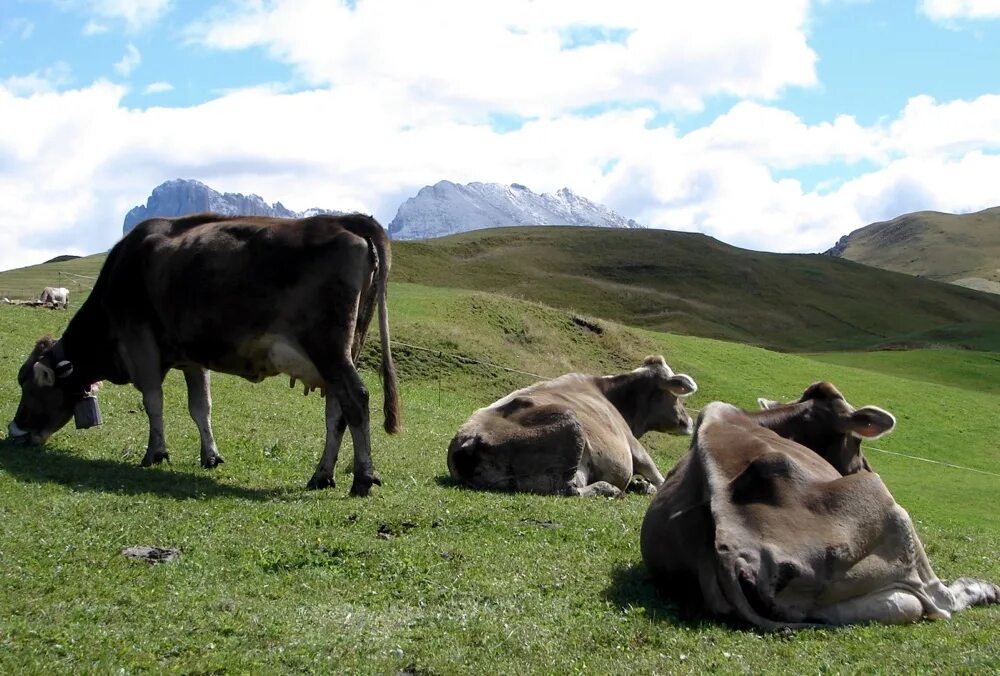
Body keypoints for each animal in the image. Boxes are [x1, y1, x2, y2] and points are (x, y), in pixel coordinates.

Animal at [7, 213, 400, 496]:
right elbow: (201, 407)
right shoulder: (192, 358)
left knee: (356, 399)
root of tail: (345, 220)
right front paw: (210, 455)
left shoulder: (140, 344)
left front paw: (155, 453)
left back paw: (362, 478)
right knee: (336, 412)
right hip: (343, 351)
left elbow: (153, 401)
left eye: (28, 386)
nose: (14, 432)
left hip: (328, 349)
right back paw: (322, 475)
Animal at [446, 356, 696, 500]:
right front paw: (649, 486)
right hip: (570, 423)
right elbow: (658, 477)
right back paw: (609, 489)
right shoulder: (634, 446)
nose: (690, 422)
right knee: (568, 490)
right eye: (676, 394)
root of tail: (467, 439)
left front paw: (639, 484)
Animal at [640, 382, 1000, 624]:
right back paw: (984, 588)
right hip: (888, 509)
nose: (866, 467)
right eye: (857, 439)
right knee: (939, 600)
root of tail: (729, 553)